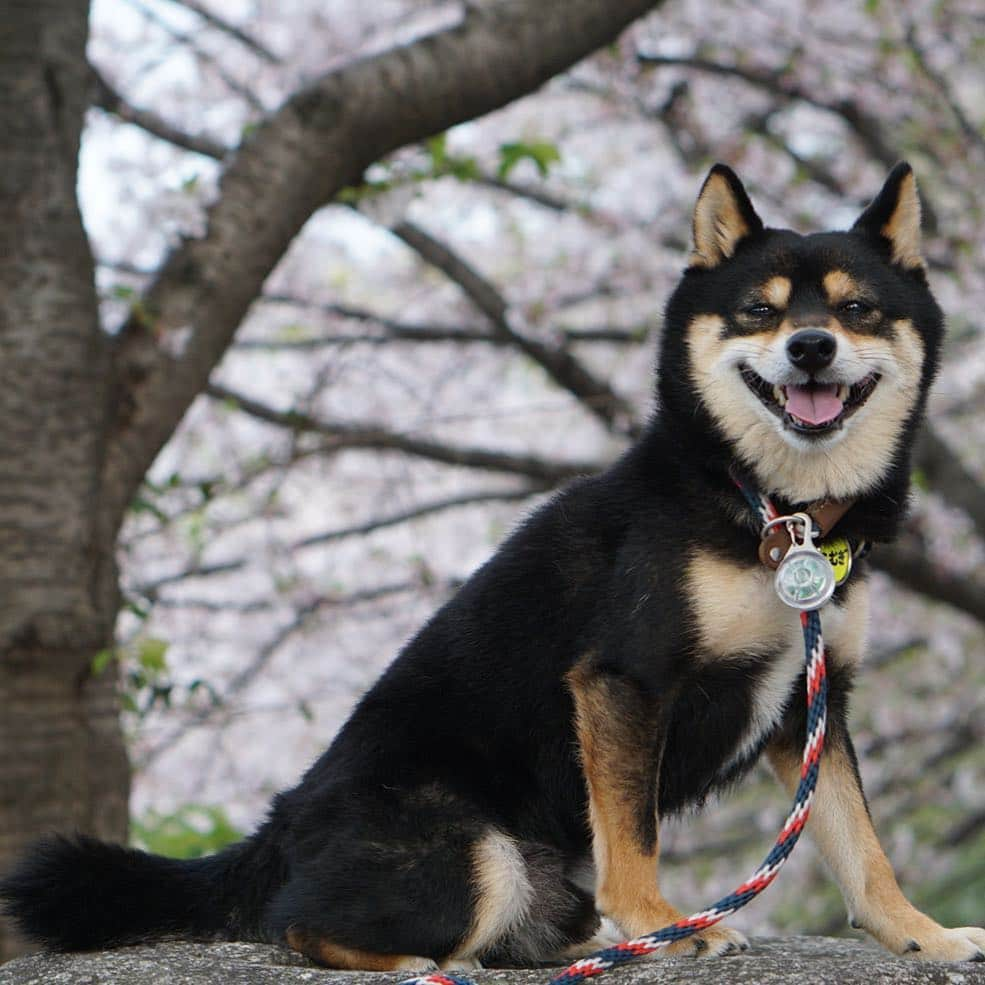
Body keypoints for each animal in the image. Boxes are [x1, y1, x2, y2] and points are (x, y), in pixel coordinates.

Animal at [3, 165, 980, 964]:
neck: (769, 508)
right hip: (479, 850)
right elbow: (633, 835)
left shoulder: (815, 701)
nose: (810, 347)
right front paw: (664, 925)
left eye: (856, 310)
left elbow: (861, 845)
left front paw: (919, 934)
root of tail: (275, 829)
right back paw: (432, 960)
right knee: (302, 927)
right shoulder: (624, 678)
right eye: (759, 311)